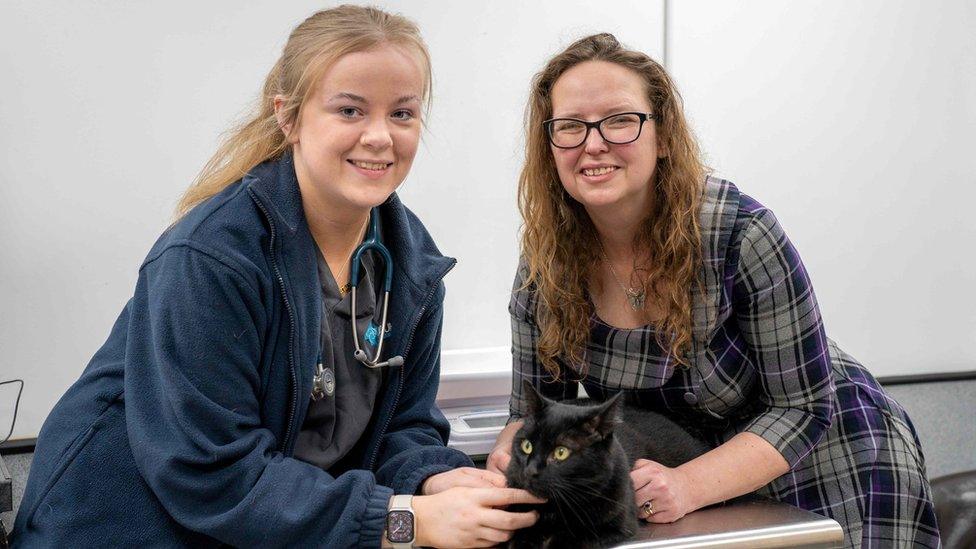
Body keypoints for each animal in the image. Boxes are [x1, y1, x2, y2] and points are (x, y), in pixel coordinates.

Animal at [504, 382, 708, 548]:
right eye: (527, 446)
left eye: (561, 452)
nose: (530, 471)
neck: (556, 508)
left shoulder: (617, 528)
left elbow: (573, 539)